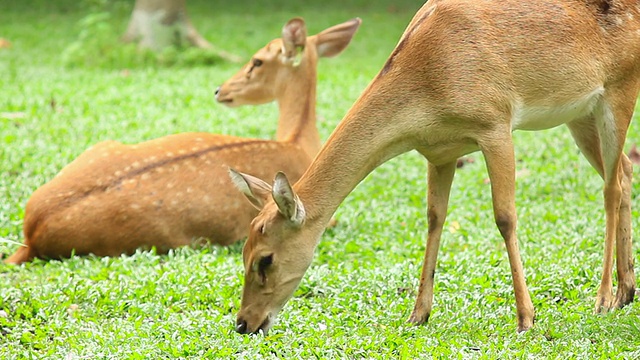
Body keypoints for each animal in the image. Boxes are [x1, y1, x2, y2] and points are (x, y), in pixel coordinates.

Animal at [230, 0, 640, 334]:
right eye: (243, 250)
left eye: (265, 259)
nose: (244, 323)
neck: (427, 84)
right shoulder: (439, 151)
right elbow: (433, 218)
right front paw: (418, 314)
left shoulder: (495, 123)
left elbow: (505, 216)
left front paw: (526, 317)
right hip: (580, 113)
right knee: (622, 171)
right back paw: (625, 292)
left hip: (619, 89)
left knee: (611, 187)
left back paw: (603, 298)